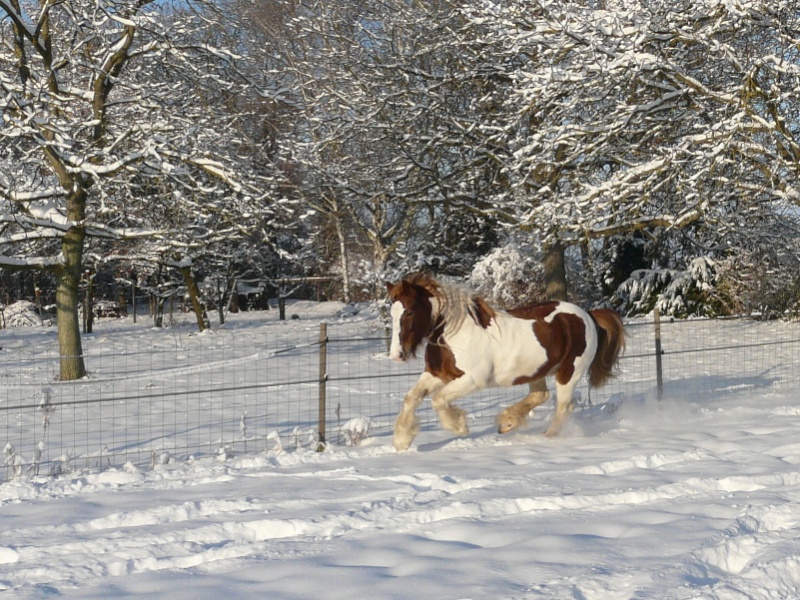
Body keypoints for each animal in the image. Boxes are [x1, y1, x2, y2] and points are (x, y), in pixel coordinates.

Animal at [386, 272, 624, 450]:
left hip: (569, 372)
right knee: (541, 395)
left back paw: (546, 437)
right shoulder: (437, 374)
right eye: (392, 313)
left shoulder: (473, 379)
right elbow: (411, 398)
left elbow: (438, 399)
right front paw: (401, 441)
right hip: (536, 371)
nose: (396, 355)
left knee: (564, 407)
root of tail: (588, 315)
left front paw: (459, 427)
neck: (455, 333)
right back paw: (506, 423)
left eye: (409, 312)